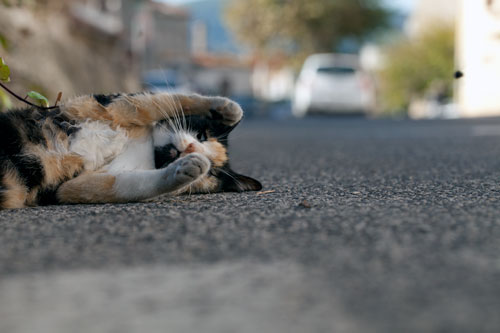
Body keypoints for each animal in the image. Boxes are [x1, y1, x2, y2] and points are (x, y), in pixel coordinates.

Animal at [0, 91, 264, 209]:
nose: (191, 148)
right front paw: (228, 109)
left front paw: (187, 169)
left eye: (212, 174)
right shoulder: (105, 107)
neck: (143, 149)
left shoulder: (67, 187)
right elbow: (165, 100)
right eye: (202, 136)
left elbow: (128, 185)